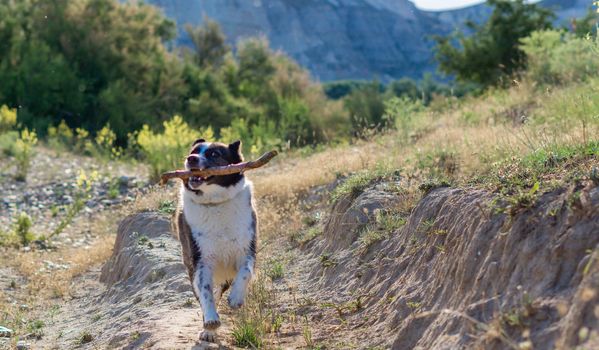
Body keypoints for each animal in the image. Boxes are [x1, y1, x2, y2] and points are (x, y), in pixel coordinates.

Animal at [173, 139, 258, 342]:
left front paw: (235, 298)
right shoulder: (200, 260)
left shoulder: (247, 250)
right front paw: (211, 322)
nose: (191, 158)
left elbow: (246, 272)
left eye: (214, 154)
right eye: (194, 151)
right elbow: (205, 291)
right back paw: (208, 330)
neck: (215, 203)